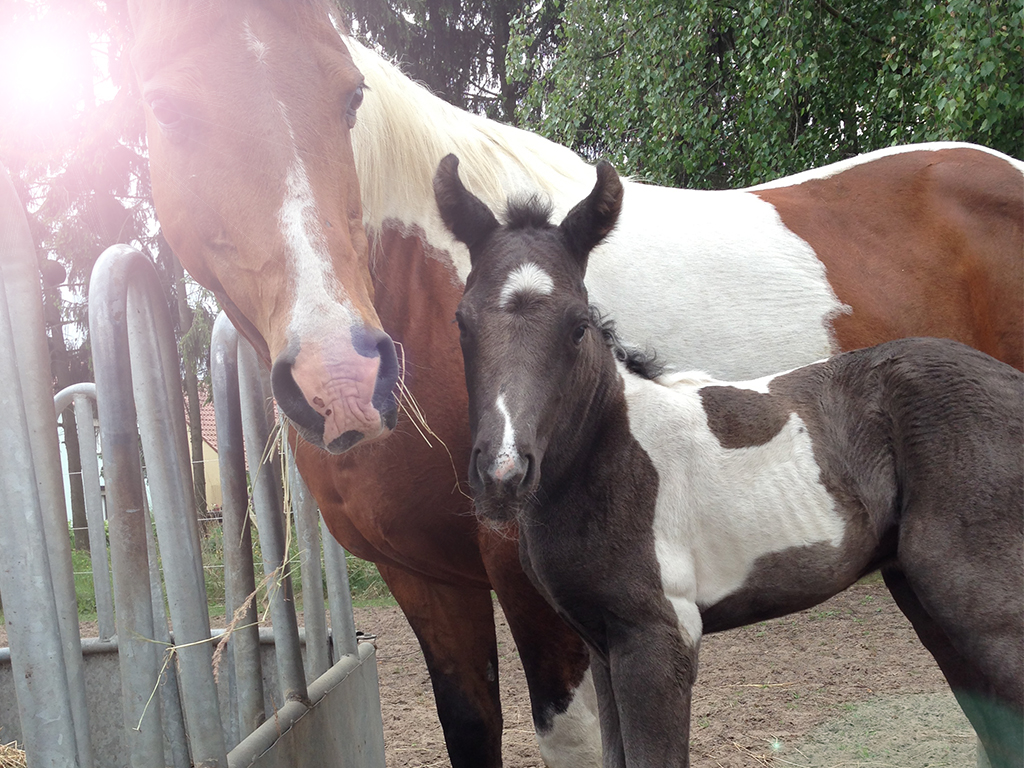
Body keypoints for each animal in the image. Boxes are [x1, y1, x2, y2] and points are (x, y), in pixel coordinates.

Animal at [435, 152, 1024, 768]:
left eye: (577, 326)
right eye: (461, 321)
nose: (503, 473)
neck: (610, 453)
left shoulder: (659, 637)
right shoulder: (601, 643)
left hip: (984, 603)